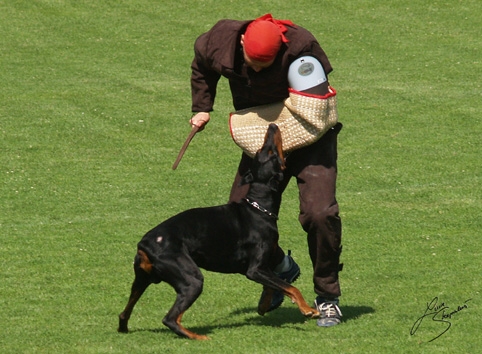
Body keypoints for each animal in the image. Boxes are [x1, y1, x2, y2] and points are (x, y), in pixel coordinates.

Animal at [118, 123, 318, 338]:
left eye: (262, 151)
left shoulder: (262, 266)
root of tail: (144, 244)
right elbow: (291, 287)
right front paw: (308, 309)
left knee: (124, 313)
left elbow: (274, 285)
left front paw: (264, 306)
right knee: (170, 318)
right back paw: (197, 336)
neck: (258, 207)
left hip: (142, 280)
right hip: (191, 280)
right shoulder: (255, 269)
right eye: (271, 153)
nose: (272, 125)